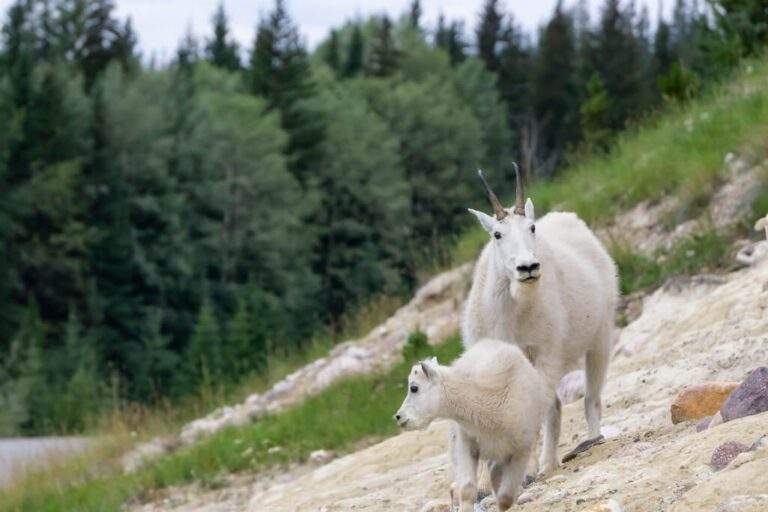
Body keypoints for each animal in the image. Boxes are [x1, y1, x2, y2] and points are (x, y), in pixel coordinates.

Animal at [462, 166, 616, 474]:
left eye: (531, 227)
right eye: (497, 234)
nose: (528, 267)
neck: (510, 313)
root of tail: (572, 219)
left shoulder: (544, 353)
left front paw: (527, 470)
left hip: (600, 337)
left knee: (589, 398)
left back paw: (587, 442)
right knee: (555, 404)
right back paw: (549, 461)